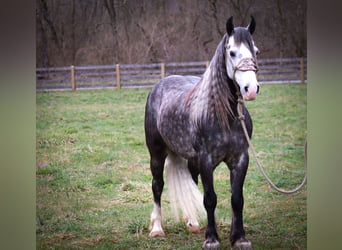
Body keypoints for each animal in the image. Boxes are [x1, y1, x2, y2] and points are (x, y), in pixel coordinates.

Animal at [144, 16, 260, 249]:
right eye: (232, 52)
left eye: (256, 51)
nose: (251, 89)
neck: (225, 116)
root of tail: (160, 85)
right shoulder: (207, 160)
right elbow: (210, 198)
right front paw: (212, 239)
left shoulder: (240, 159)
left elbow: (237, 199)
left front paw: (239, 238)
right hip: (157, 154)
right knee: (157, 186)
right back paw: (157, 229)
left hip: (191, 159)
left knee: (192, 180)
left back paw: (193, 223)